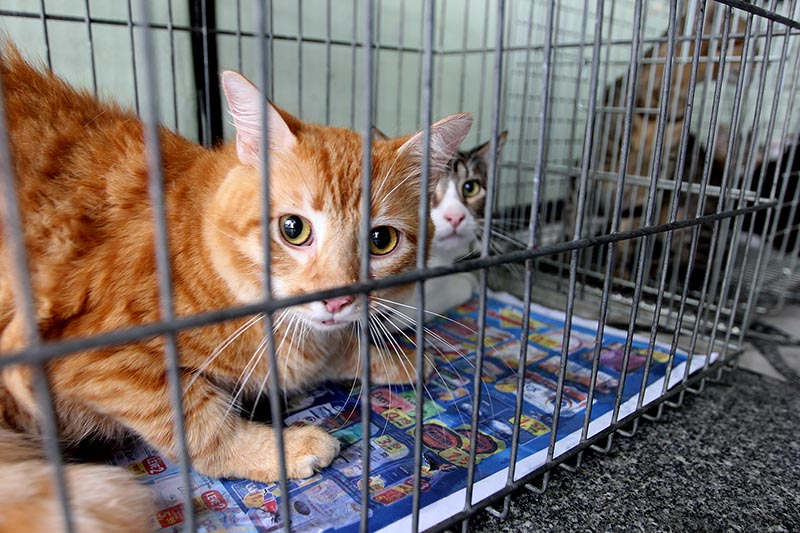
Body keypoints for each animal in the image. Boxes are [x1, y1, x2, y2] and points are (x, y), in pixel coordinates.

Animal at [0, 46, 472, 532]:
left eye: (382, 240)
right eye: (293, 229)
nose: (337, 297)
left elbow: (339, 349)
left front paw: (394, 357)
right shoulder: (97, 361)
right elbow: (198, 422)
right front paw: (277, 450)